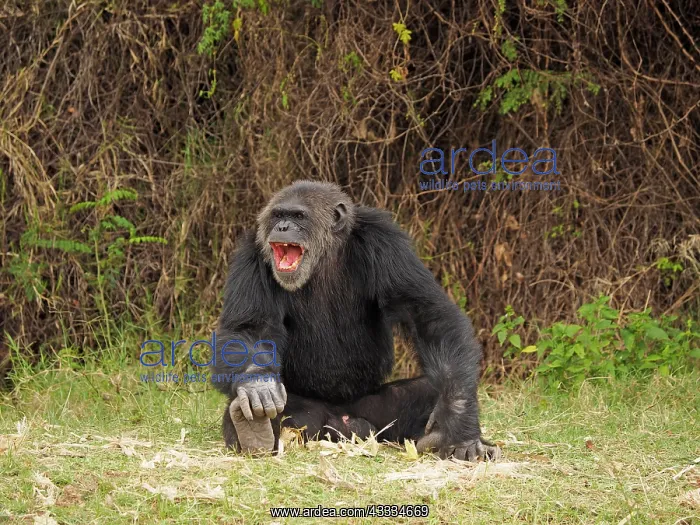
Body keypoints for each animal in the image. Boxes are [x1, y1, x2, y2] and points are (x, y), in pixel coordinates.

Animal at [211, 180, 500, 461]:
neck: (324, 256)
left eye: (298, 216)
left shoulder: (386, 243)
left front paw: (459, 422)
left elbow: (427, 314)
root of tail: (344, 421)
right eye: (278, 215)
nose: (282, 227)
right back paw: (254, 433)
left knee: (429, 389)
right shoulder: (251, 256)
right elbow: (250, 327)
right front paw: (256, 384)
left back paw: (441, 436)